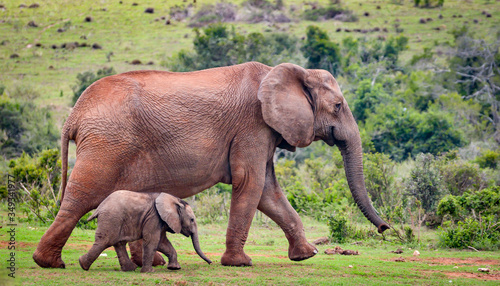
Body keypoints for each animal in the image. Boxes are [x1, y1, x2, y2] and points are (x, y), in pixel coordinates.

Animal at [78, 191, 211, 272]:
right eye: (192, 219)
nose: (211, 263)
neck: (174, 200)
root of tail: (99, 207)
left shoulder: (160, 220)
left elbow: (162, 243)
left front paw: (174, 268)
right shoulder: (154, 217)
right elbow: (153, 240)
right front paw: (149, 272)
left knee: (118, 243)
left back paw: (130, 269)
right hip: (111, 218)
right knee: (105, 241)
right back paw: (82, 265)